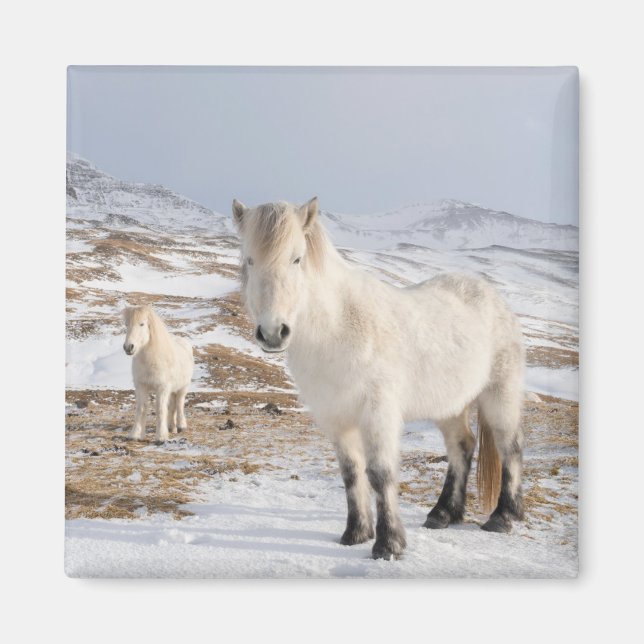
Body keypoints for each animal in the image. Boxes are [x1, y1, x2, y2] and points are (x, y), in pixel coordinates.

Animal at [122, 305, 194, 443]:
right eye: (126, 324)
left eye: (142, 324)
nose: (128, 347)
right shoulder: (141, 386)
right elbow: (141, 408)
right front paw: (135, 435)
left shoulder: (162, 387)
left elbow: (160, 409)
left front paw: (161, 437)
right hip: (172, 390)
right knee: (172, 406)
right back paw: (171, 427)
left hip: (183, 387)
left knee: (179, 403)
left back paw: (181, 426)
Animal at [232, 197, 525, 561]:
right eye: (250, 259)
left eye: (296, 258)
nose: (273, 333)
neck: (338, 328)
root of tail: (491, 295)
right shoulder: (336, 417)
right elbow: (351, 472)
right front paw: (356, 533)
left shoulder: (378, 412)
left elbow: (380, 473)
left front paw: (388, 544)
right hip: (450, 405)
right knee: (462, 447)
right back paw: (443, 514)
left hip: (500, 394)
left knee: (510, 447)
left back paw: (503, 517)